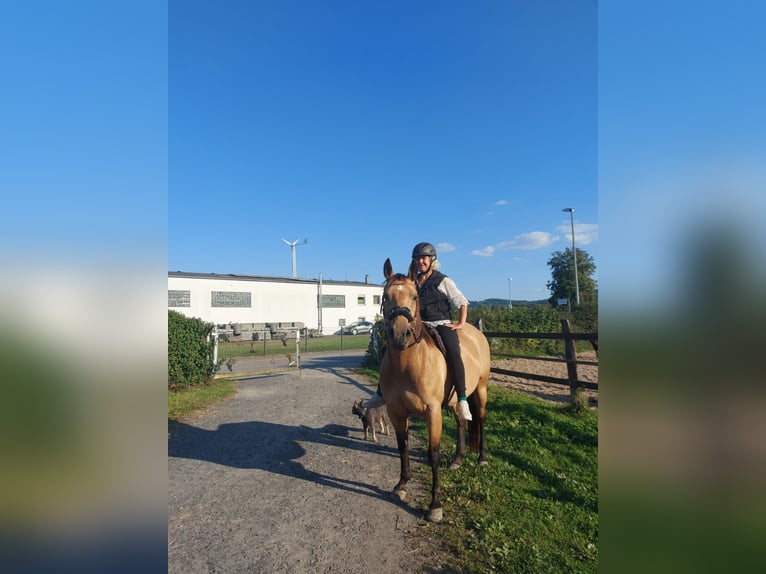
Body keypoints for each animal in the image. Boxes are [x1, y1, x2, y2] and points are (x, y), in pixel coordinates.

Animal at [378, 258, 492, 524]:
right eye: (385, 297)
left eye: (414, 297)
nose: (400, 335)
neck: (406, 364)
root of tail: (476, 333)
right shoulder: (396, 412)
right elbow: (402, 446)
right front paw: (401, 485)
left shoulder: (432, 412)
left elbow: (434, 453)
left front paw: (435, 504)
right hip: (453, 401)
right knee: (462, 422)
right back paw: (458, 459)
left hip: (481, 389)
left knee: (480, 419)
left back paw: (481, 458)